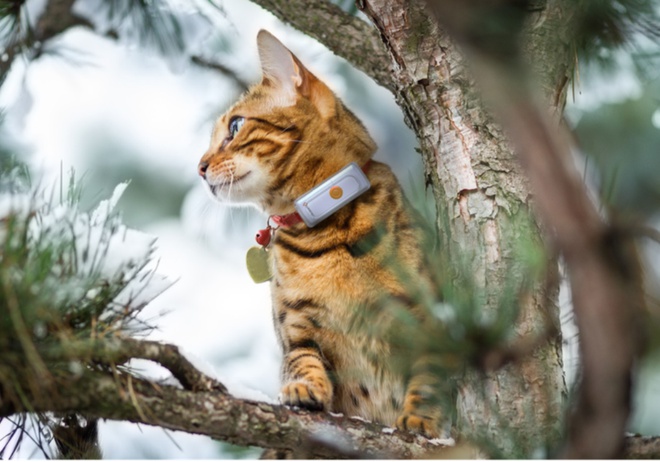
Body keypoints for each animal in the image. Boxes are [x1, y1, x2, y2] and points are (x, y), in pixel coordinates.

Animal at [197, 29, 444, 440]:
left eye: (234, 127)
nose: (199, 167)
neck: (325, 233)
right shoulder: (295, 328)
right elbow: (300, 359)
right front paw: (303, 388)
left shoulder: (433, 318)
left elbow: (432, 375)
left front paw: (422, 419)